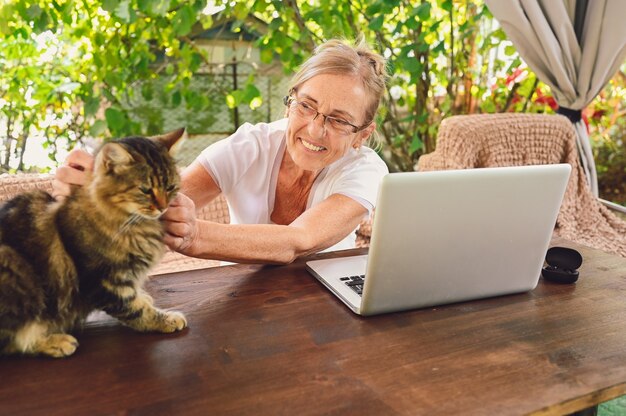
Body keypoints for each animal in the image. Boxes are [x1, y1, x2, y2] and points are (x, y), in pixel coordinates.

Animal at [0, 130, 185, 358]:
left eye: (170, 187)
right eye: (145, 190)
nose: (163, 207)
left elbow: (137, 297)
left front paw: (145, 297)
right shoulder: (104, 281)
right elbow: (136, 310)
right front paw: (166, 320)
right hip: (14, 268)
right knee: (15, 340)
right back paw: (56, 342)